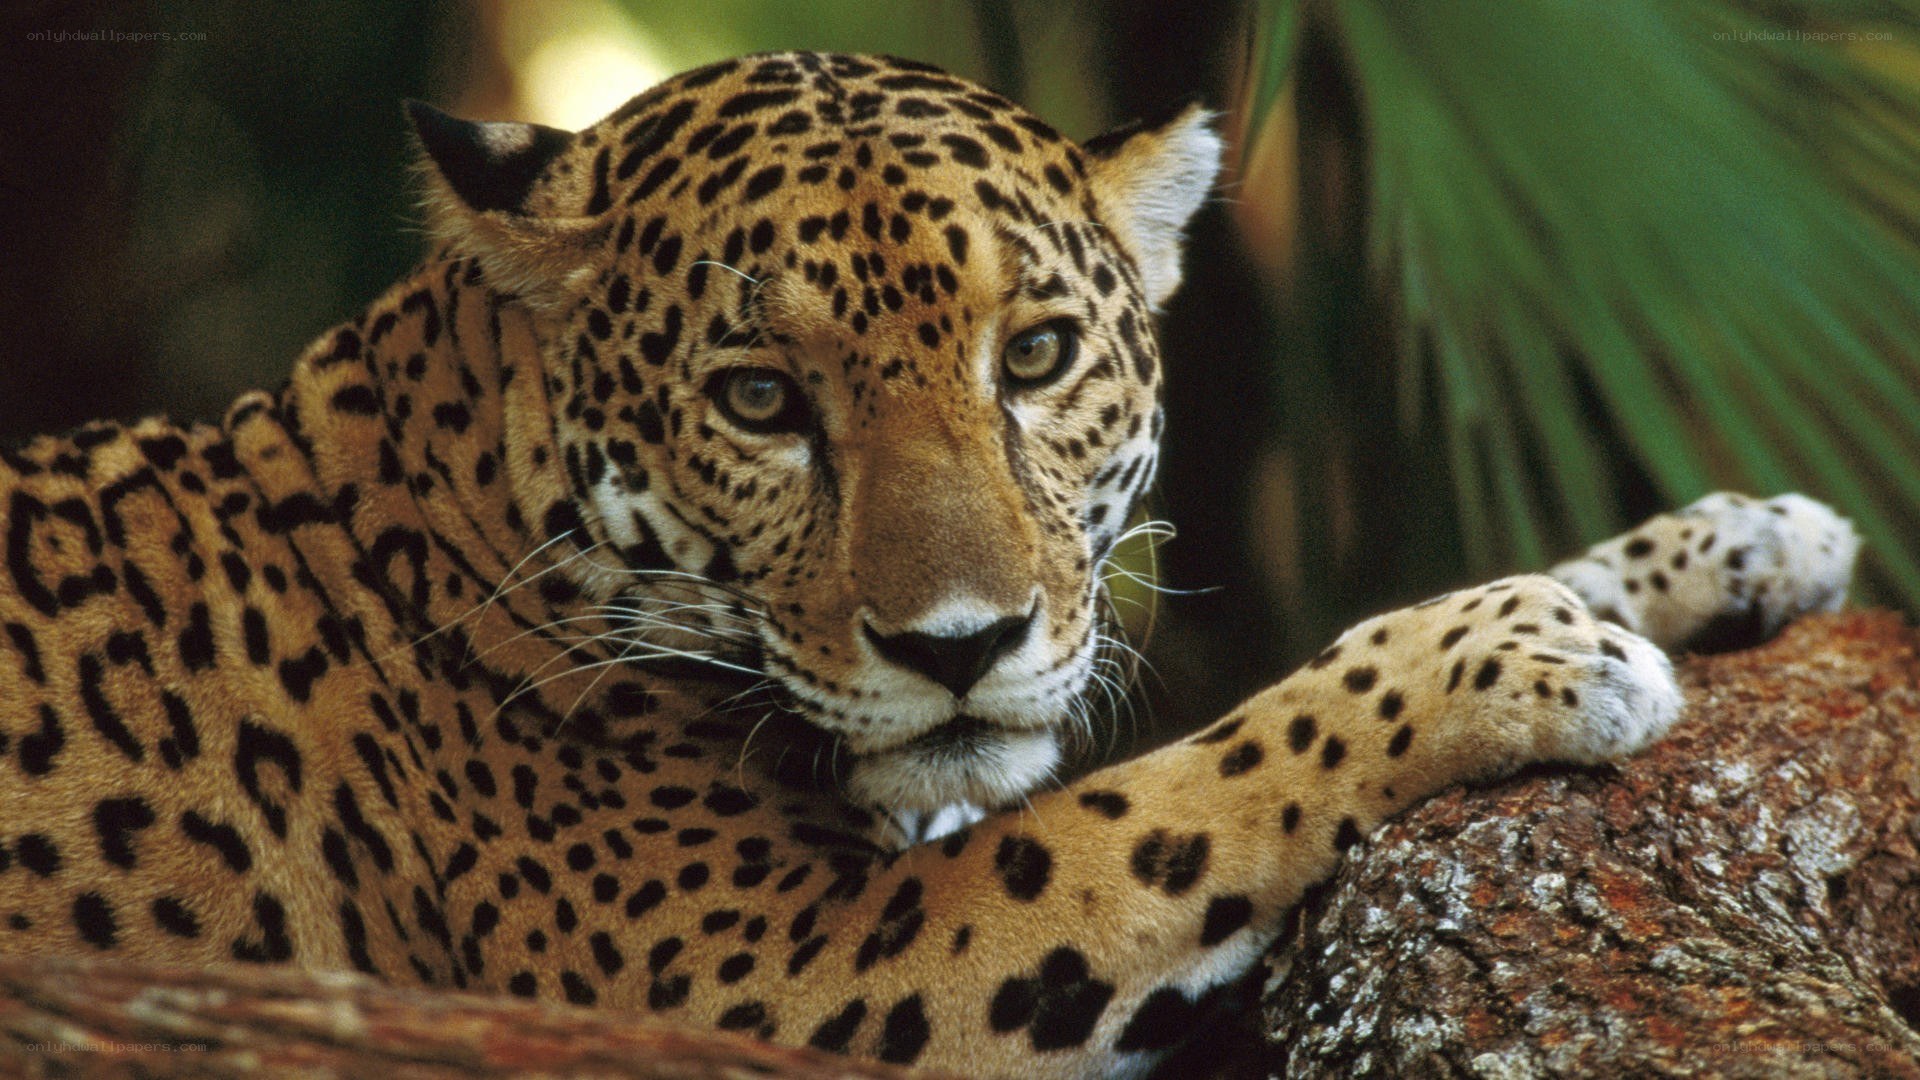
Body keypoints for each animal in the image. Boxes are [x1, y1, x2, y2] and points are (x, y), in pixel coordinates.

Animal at [0, 51, 1861, 1078]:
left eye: (1033, 358)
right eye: (759, 400)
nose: (959, 645)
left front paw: (1732, 541)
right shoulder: (771, 974)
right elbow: (1209, 777)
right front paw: (1509, 658)